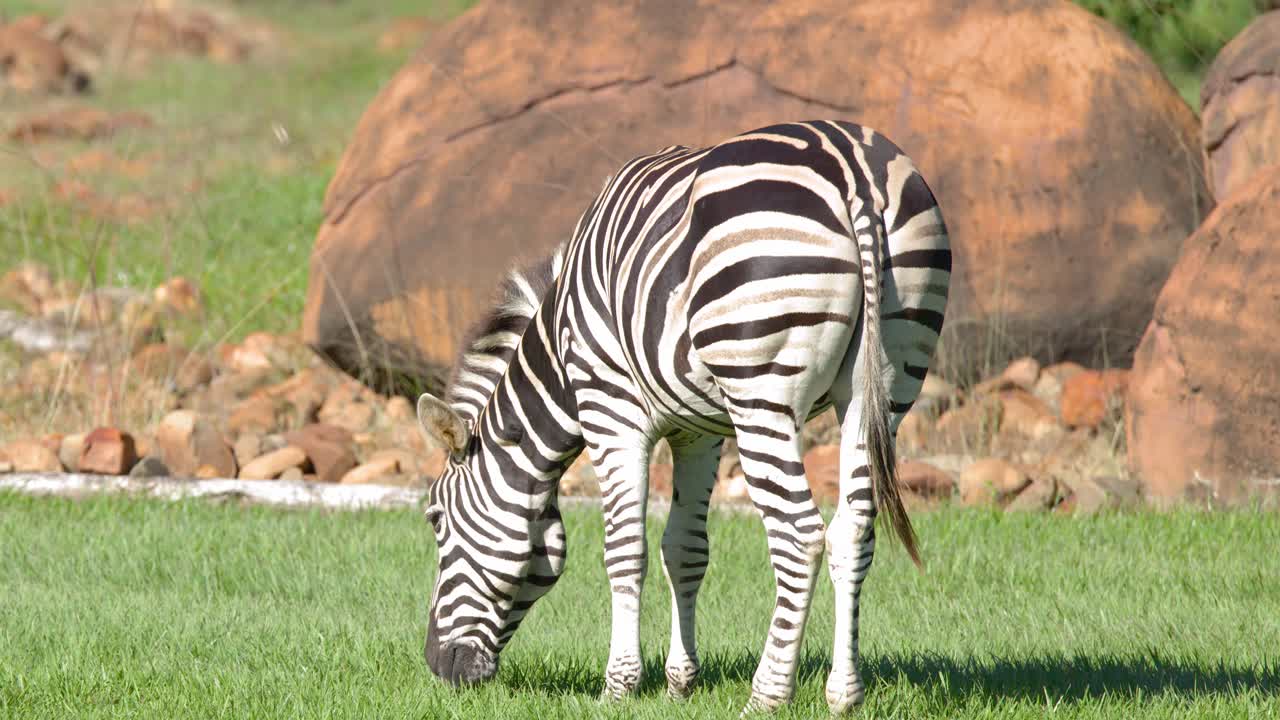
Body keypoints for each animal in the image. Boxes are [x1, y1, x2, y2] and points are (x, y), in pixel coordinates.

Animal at [416, 120, 950, 714]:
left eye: (434, 518)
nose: (437, 667)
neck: (559, 354)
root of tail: (850, 165)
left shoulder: (611, 411)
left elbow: (625, 551)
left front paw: (618, 685)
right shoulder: (699, 433)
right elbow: (684, 549)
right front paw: (679, 682)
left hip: (761, 390)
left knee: (798, 536)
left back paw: (767, 695)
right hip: (884, 386)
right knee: (852, 530)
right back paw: (843, 695)